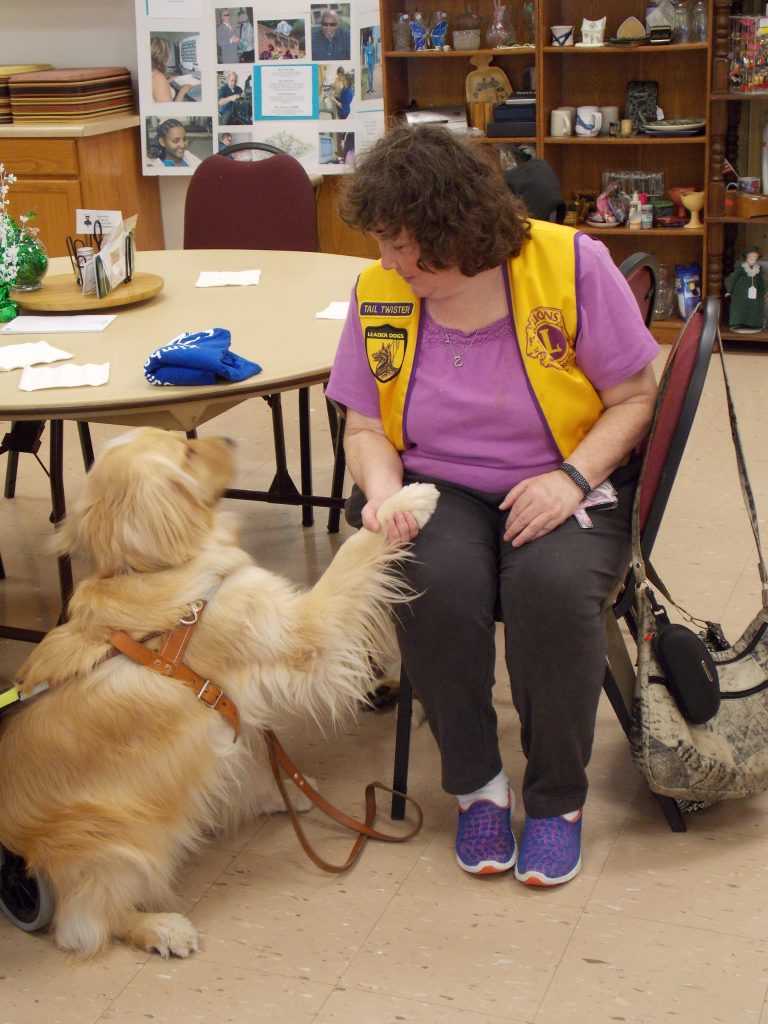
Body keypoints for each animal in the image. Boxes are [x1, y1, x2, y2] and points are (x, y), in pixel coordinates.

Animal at [0, 423, 438, 958]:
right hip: (121, 847)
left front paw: (284, 791)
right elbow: (351, 556)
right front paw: (408, 501)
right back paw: (162, 928)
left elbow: (252, 757)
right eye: (186, 452)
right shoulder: (301, 634)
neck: (158, 572)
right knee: (82, 924)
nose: (229, 441)